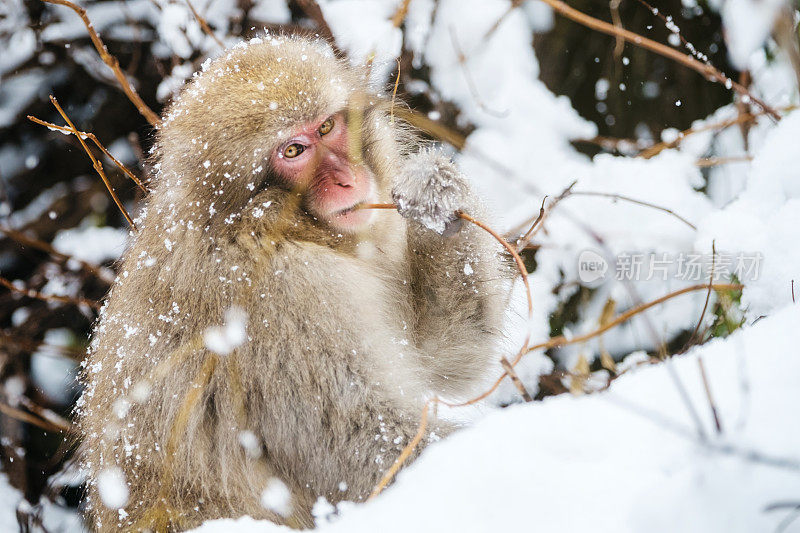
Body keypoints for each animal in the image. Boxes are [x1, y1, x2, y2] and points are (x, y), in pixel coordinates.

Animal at [78, 35, 510, 528]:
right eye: (292, 152)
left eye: (326, 126)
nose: (348, 179)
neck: (254, 226)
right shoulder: (281, 297)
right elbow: (364, 447)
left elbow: (443, 358)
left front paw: (435, 195)